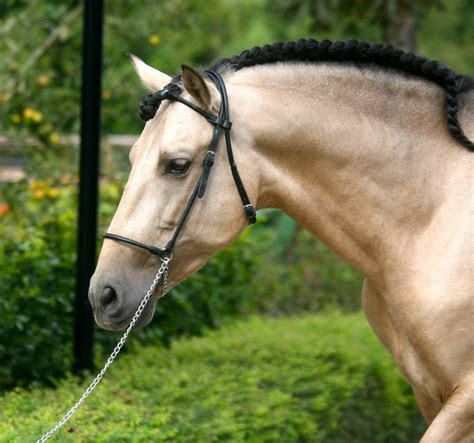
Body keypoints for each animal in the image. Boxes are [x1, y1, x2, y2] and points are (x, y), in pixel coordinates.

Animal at [87, 40, 472, 442]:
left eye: (177, 164)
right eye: (132, 157)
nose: (103, 294)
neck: (430, 214)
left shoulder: (464, 400)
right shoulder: (427, 392)